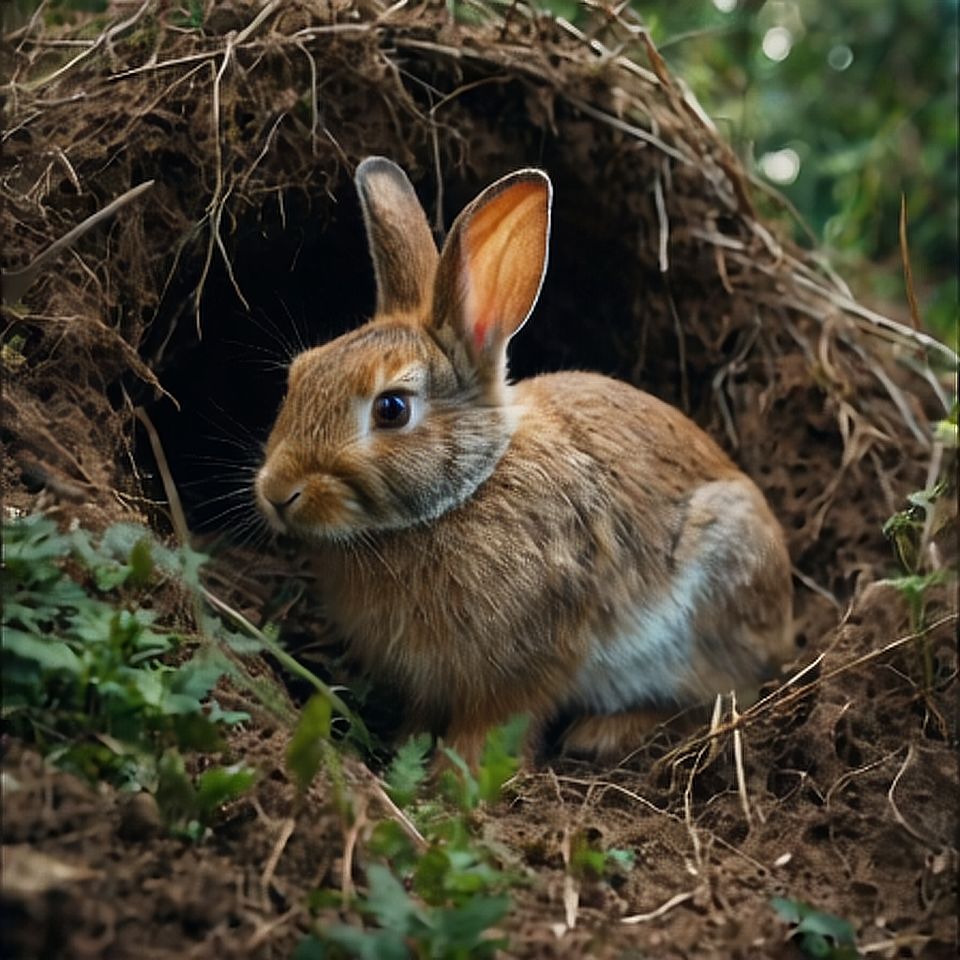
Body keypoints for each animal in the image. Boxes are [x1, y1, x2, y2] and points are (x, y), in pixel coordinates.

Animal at [255, 156, 794, 765]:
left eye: (392, 409)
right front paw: (406, 749)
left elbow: (498, 724)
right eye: (300, 373)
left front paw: (458, 773)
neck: (467, 490)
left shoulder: (526, 660)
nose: (277, 492)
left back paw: (601, 733)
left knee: (714, 697)